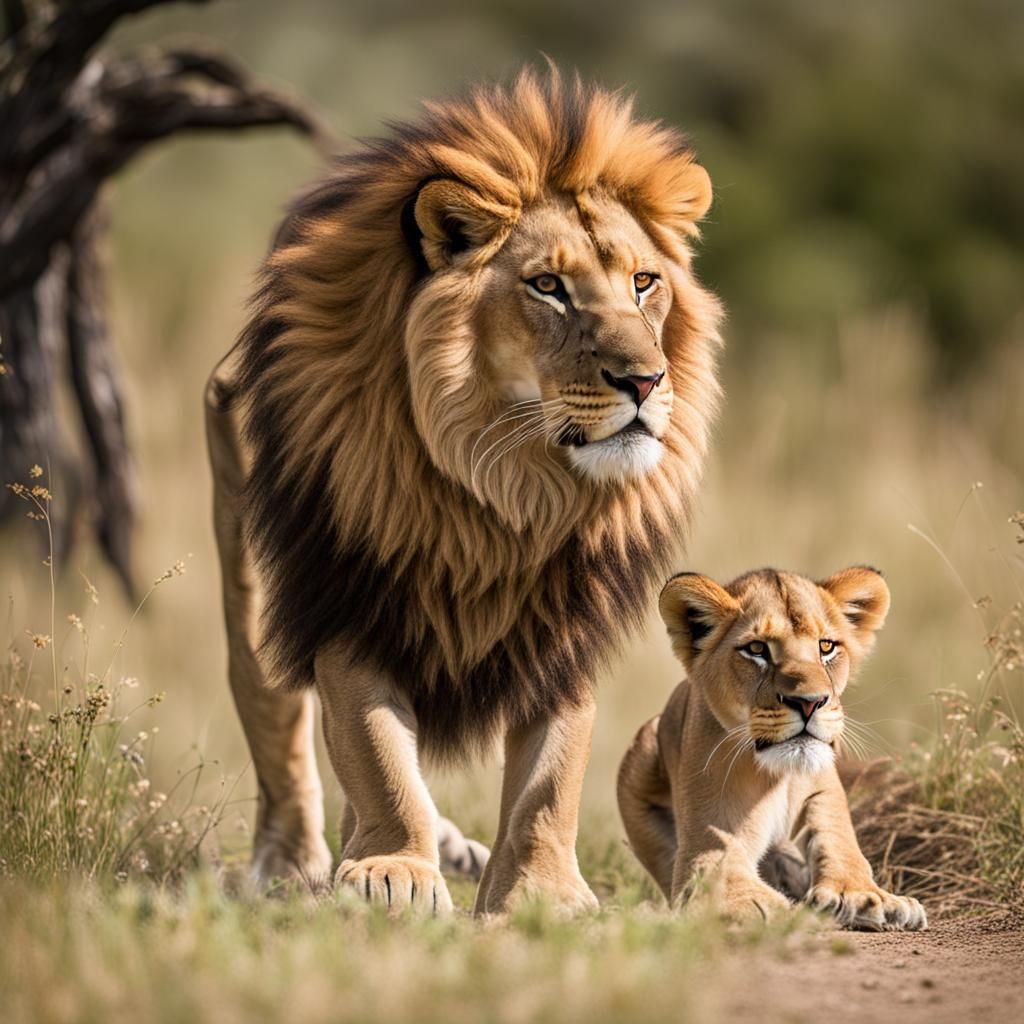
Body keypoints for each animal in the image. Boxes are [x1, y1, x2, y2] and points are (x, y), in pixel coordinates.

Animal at [204, 69, 722, 914]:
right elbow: (377, 752)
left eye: (644, 283)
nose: (646, 380)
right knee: (276, 712)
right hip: (258, 578)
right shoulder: (349, 594)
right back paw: (292, 866)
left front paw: (542, 893)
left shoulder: (566, 618)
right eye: (548, 287)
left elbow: (554, 773)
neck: (510, 486)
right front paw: (393, 871)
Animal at [617, 567, 927, 931]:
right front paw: (774, 910)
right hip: (643, 747)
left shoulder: (822, 790)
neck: (780, 775)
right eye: (756, 649)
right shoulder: (708, 839)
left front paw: (866, 897)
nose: (810, 702)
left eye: (826, 646)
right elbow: (723, 878)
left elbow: (839, 841)